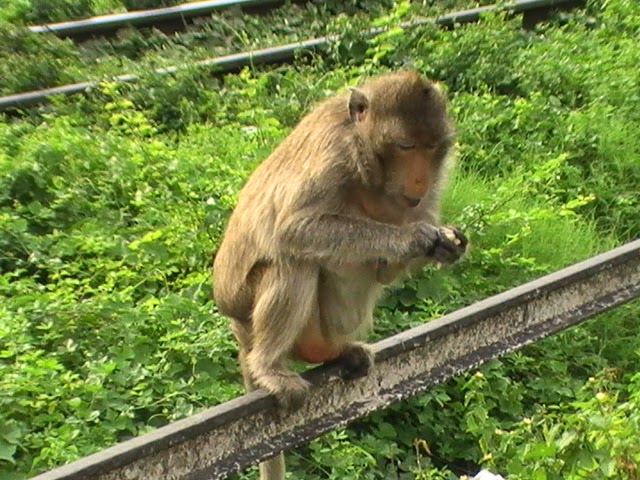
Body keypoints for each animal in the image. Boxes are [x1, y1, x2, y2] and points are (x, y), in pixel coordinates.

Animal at [212, 69, 468, 478]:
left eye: (431, 148)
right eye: (406, 146)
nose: (420, 181)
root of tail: (237, 326)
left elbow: (384, 270)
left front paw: (444, 244)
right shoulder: (334, 154)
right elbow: (294, 229)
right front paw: (413, 237)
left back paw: (339, 353)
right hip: (245, 306)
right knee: (291, 261)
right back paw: (269, 366)